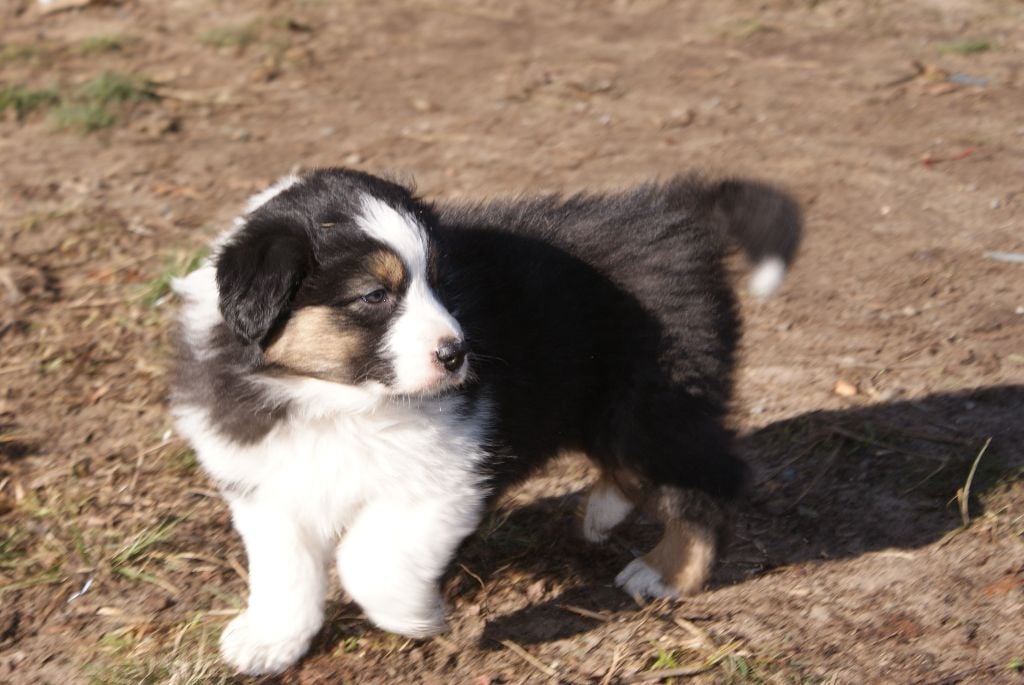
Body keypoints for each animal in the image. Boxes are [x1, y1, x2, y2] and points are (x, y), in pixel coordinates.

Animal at [172, 166, 802, 671]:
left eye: (440, 283)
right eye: (375, 295)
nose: (456, 354)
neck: (333, 399)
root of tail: (679, 216)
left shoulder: (447, 476)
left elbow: (369, 560)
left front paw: (415, 616)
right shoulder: (269, 481)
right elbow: (285, 571)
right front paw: (268, 642)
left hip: (654, 401)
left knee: (709, 478)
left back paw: (664, 572)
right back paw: (604, 513)